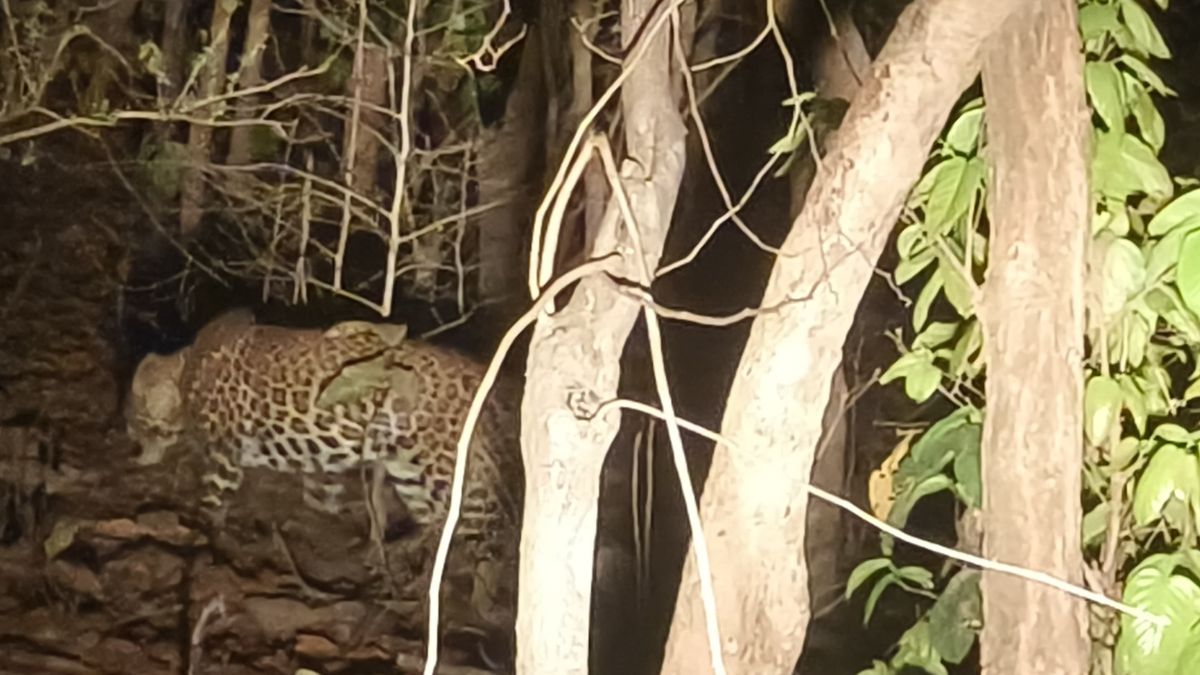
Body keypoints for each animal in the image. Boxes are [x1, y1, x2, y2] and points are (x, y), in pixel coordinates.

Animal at [124, 309, 524, 558]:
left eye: (135, 419)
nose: (132, 451)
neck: (185, 372)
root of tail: (479, 374)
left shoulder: (225, 453)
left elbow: (212, 502)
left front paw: (206, 538)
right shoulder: (318, 455)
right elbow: (320, 493)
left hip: (445, 466)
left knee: (483, 524)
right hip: (411, 472)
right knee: (439, 520)